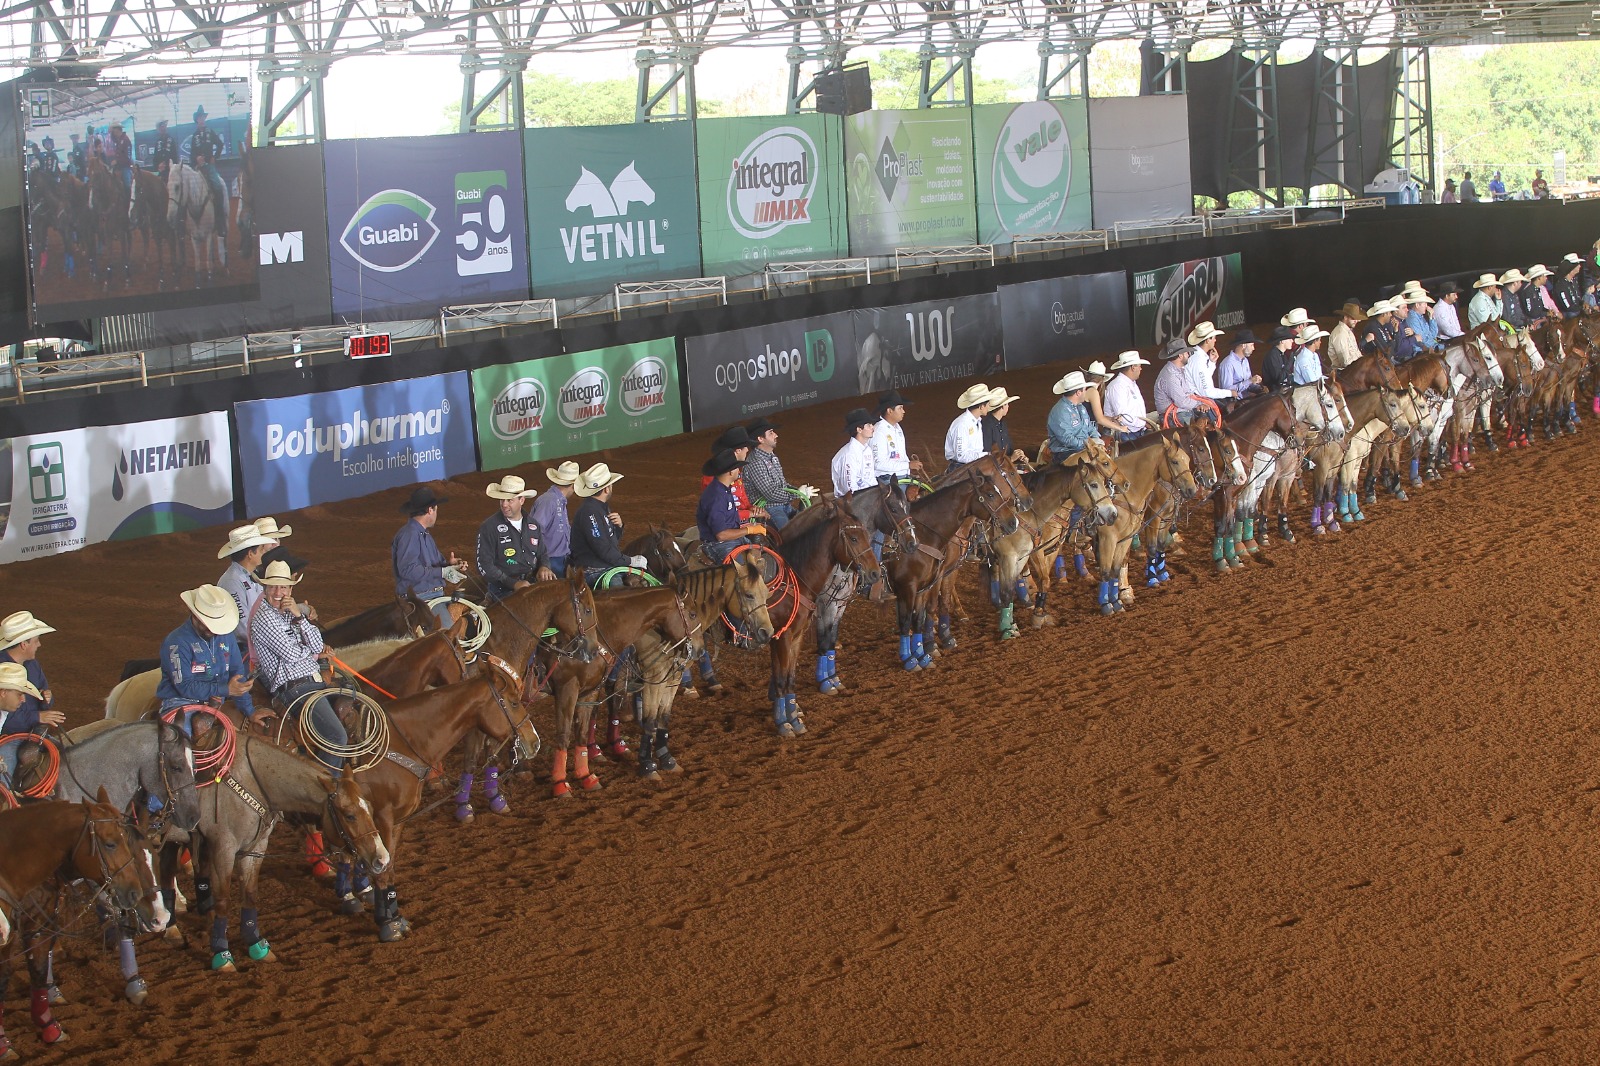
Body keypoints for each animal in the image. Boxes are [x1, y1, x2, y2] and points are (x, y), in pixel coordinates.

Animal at [0, 793, 168, 1049]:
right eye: (111, 844)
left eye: (155, 856)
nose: (162, 917)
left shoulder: (38, 923)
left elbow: (38, 970)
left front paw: (50, 1027)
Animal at [168, 158, 228, 286]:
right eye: (167, 187)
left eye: (177, 186)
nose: (170, 218)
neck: (197, 204)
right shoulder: (194, 237)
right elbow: (197, 261)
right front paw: (198, 283)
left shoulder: (208, 235)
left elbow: (208, 261)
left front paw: (210, 280)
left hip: (225, 223)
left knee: (224, 241)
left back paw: (226, 268)